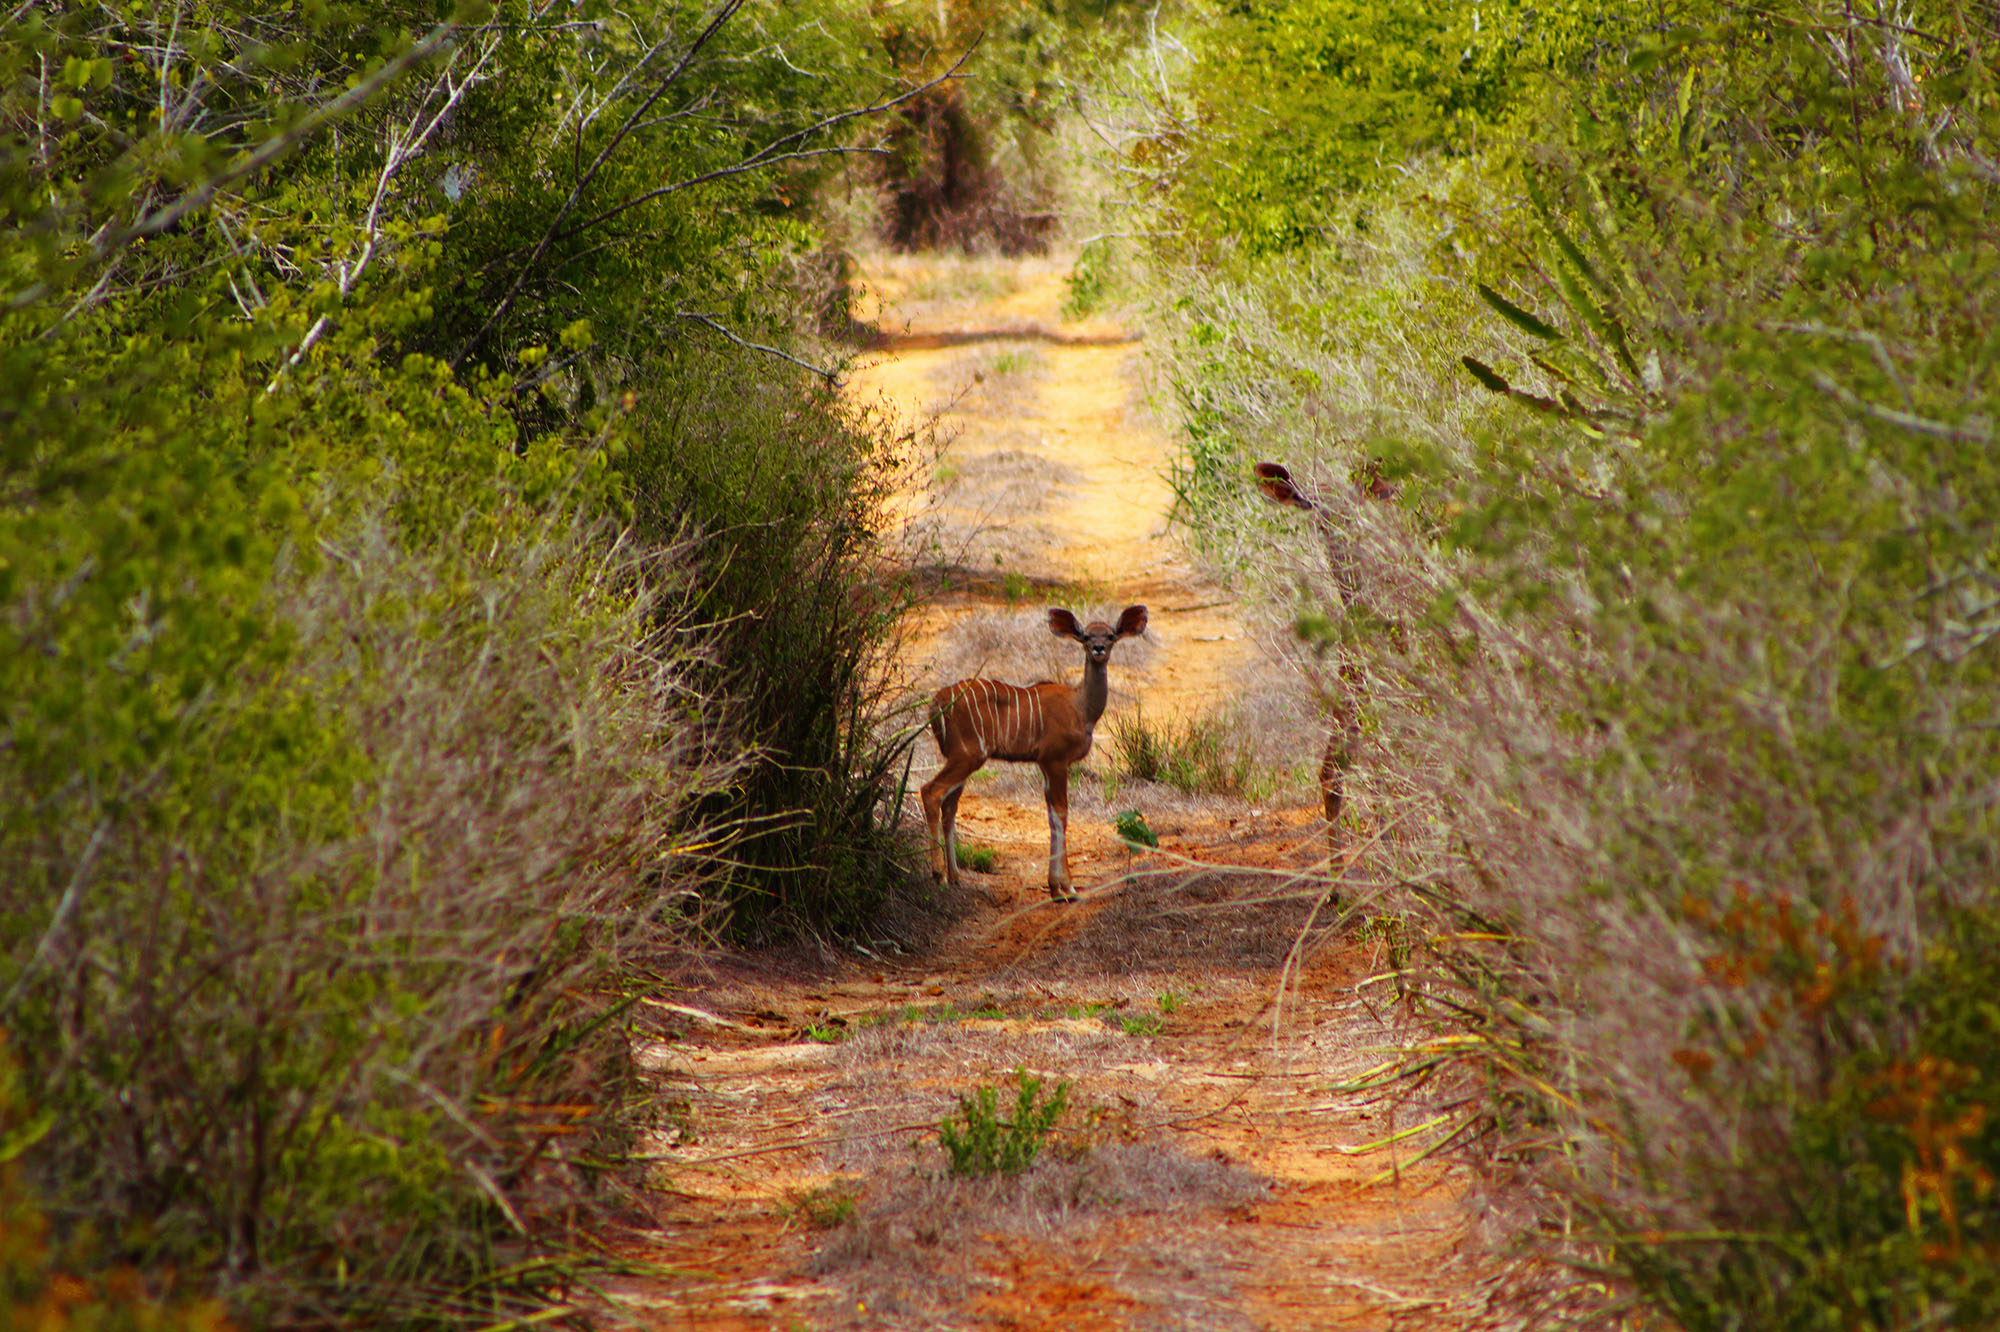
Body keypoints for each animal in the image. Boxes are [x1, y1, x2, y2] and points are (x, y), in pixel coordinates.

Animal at [924, 604, 1152, 896]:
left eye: (1111, 635)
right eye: (1086, 636)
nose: (1099, 648)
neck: (1081, 708)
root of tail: (936, 702)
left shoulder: (1044, 763)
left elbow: (1051, 816)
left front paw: (1055, 887)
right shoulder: (1056, 759)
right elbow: (1062, 813)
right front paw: (1067, 887)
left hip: (959, 757)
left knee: (949, 805)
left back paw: (955, 877)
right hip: (968, 754)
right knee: (931, 791)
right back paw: (938, 873)